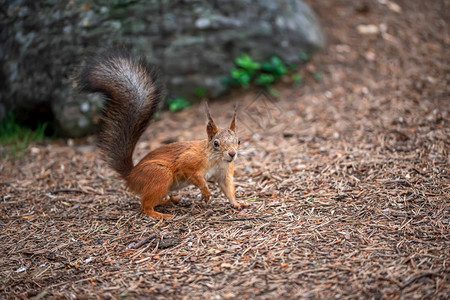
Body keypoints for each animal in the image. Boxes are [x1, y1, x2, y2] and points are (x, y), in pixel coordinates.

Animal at [75, 49, 248, 218]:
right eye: (216, 143)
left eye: (238, 141)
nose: (232, 154)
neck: (216, 159)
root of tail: (131, 176)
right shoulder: (189, 162)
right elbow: (195, 176)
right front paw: (206, 193)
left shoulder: (225, 173)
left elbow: (228, 189)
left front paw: (237, 204)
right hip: (160, 174)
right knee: (145, 205)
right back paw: (160, 214)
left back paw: (171, 201)